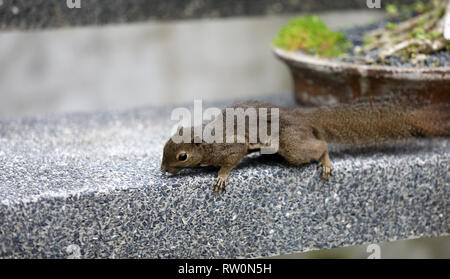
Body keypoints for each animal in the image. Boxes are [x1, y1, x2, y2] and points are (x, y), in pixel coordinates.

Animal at [160, 100, 448, 195]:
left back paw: (326, 161)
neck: (208, 138)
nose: (163, 170)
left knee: (320, 145)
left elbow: (231, 161)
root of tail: (304, 118)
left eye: (182, 156)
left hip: (292, 146)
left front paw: (221, 177)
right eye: (164, 148)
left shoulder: (232, 147)